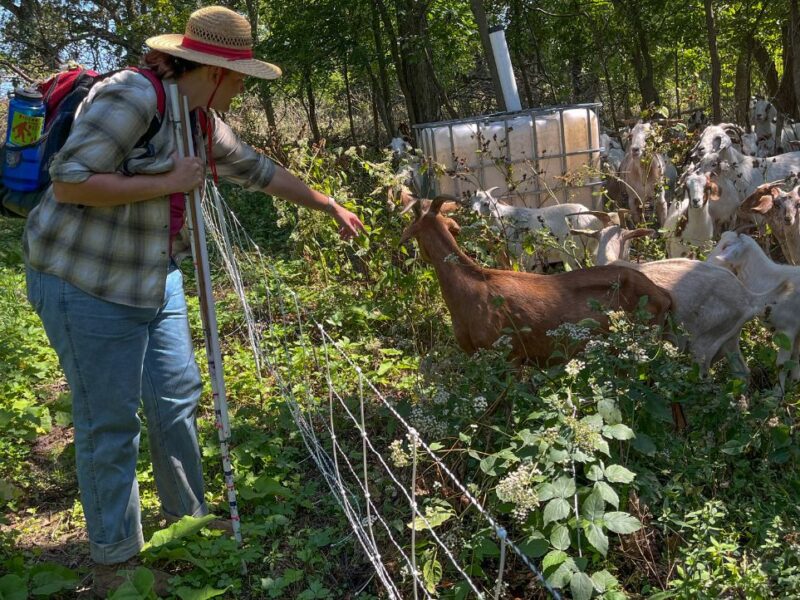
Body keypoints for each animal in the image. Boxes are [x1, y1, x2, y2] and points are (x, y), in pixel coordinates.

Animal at [708, 232, 800, 386]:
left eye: (726, 246)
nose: (707, 264)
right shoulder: (797, 332)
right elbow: (795, 359)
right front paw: (795, 383)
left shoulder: (788, 330)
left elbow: (781, 365)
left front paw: (778, 391)